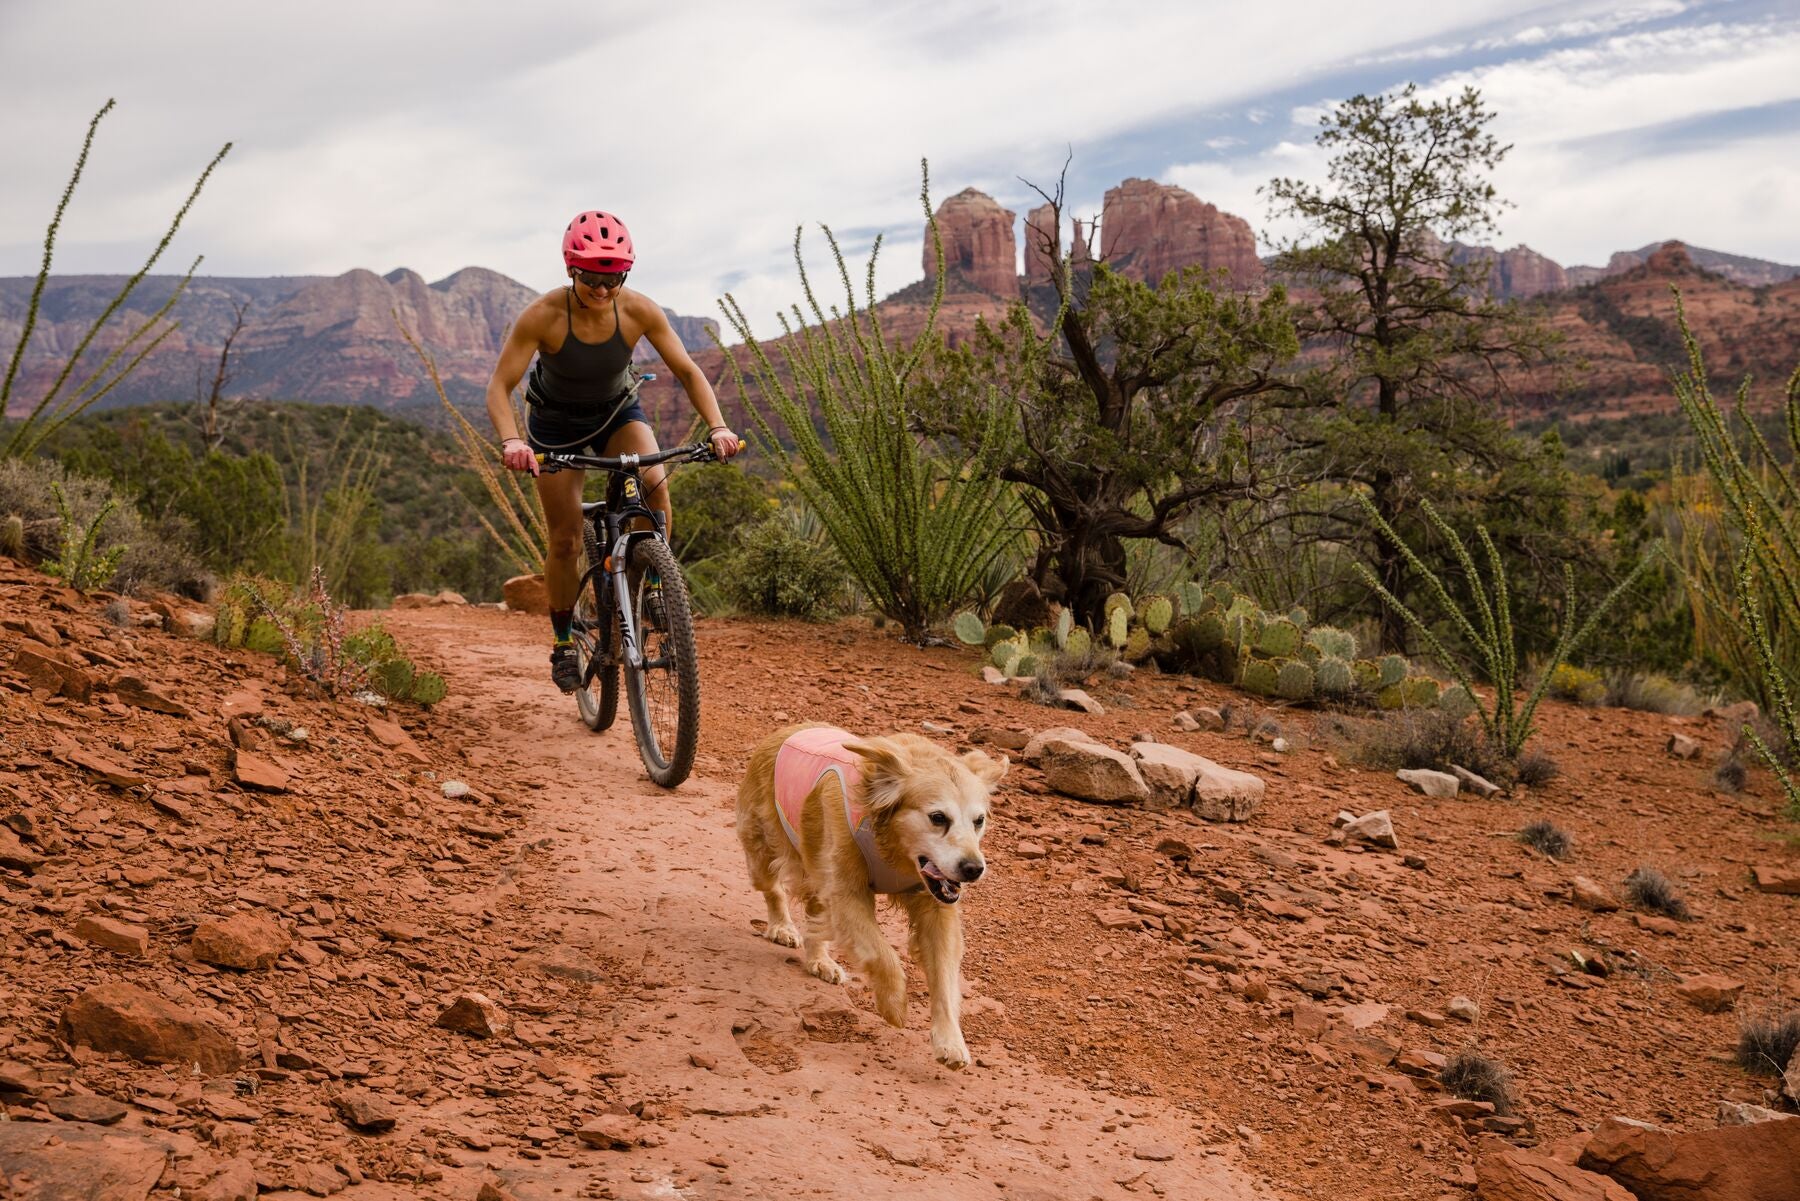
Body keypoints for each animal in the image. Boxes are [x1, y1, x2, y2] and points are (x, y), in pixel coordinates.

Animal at [734, 723, 1015, 1073]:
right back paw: (782, 928)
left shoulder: (937, 908)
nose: (974, 868)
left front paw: (950, 1040)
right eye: (938, 817)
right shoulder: (847, 893)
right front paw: (894, 1005)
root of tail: (792, 728)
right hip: (763, 847)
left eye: (979, 820)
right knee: (773, 889)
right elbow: (884, 956)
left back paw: (819, 961)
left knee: (814, 915)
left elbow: (945, 977)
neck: (893, 843)